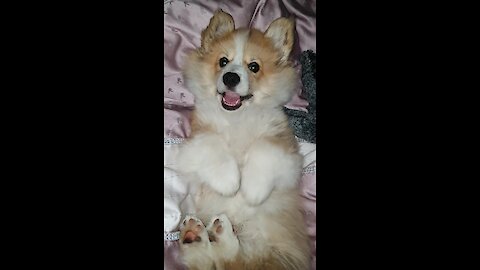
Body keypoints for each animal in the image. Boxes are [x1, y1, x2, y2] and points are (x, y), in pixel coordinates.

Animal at [176, 10, 312, 270]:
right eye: (223, 62)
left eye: (254, 66)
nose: (230, 77)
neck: (237, 118)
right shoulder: (197, 138)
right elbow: (214, 144)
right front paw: (229, 182)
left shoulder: (285, 150)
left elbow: (263, 148)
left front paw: (252, 190)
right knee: (221, 260)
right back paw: (199, 237)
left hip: (272, 240)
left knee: (231, 259)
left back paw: (209, 235)